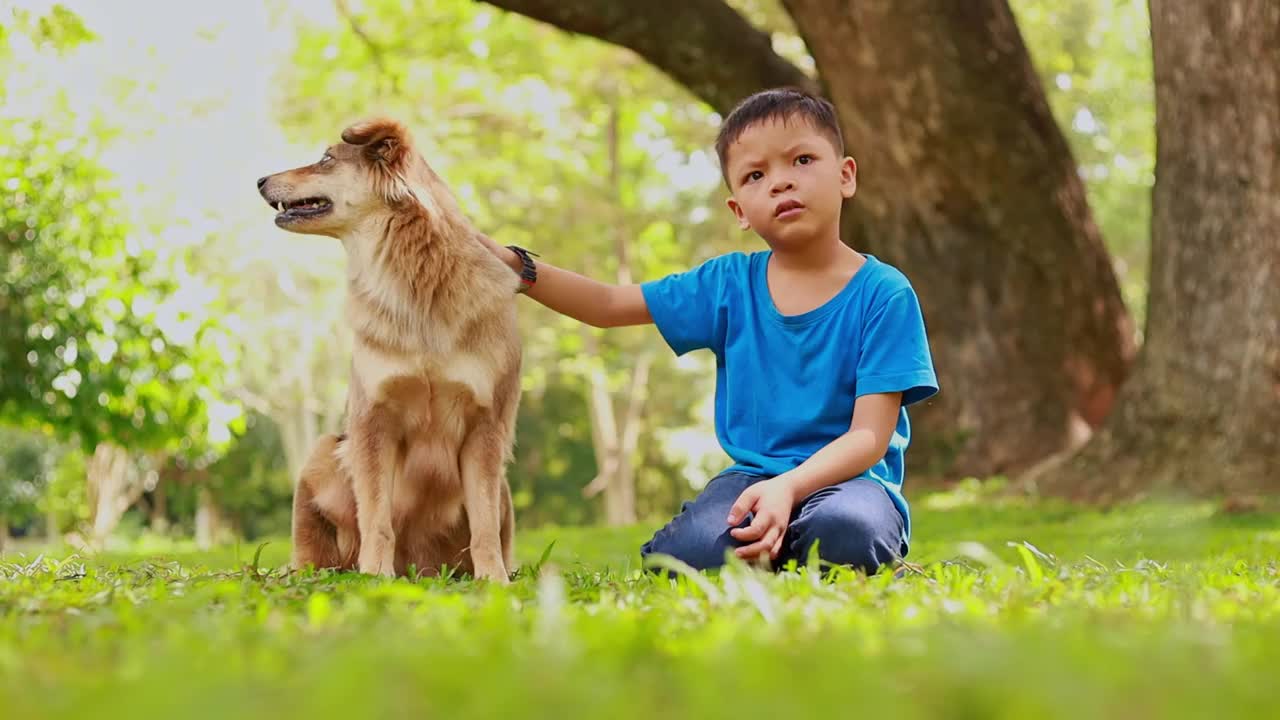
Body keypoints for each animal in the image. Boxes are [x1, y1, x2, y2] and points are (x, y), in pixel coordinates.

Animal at [254, 116, 519, 576]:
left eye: (326, 159)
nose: (260, 180)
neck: (416, 278)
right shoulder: (372, 422)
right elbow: (376, 517)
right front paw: (377, 575)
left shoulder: (485, 427)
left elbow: (485, 524)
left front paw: (494, 579)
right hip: (324, 451)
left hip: (502, 487)